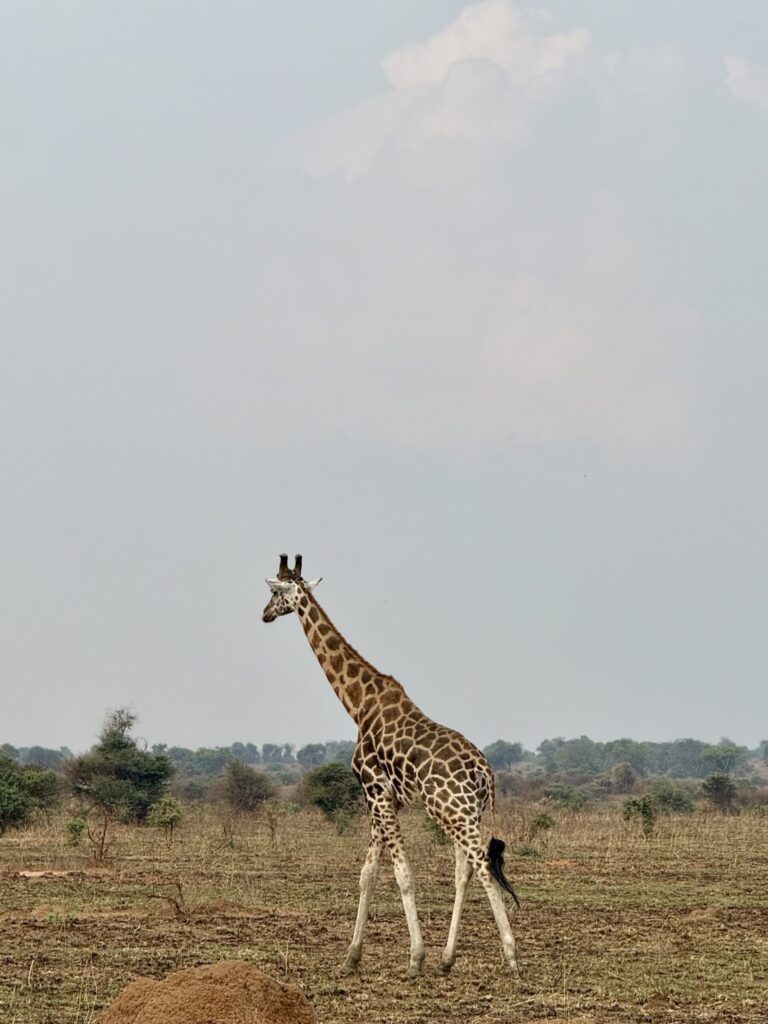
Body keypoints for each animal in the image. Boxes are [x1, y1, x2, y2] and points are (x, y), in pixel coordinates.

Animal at [262, 554, 520, 978]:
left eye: (273, 593)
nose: (264, 614)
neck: (358, 704)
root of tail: (485, 773)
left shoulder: (375, 790)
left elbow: (402, 874)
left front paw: (415, 958)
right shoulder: (384, 797)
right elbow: (367, 874)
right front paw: (350, 958)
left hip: (451, 811)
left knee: (482, 866)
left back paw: (511, 957)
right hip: (468, 812)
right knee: (464, 871)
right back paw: (448, 959)